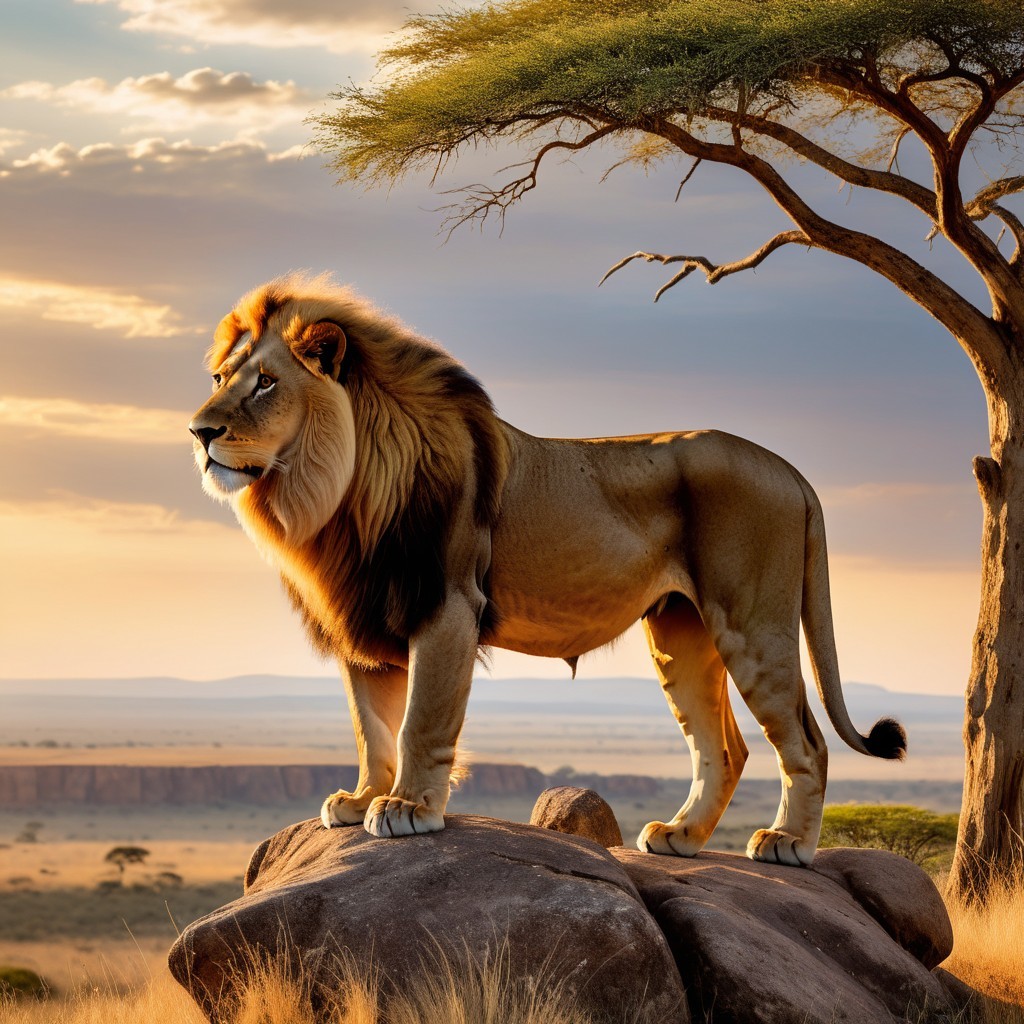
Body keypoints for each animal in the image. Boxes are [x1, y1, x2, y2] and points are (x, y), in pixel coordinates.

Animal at [189, 273, 905, 867]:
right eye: (221, 378)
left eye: (266, 382)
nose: (199, 432)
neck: (340, 492)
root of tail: (789, 470)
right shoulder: (365, 616)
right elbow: (372, 729)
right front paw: (364, 798)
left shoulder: (446, 606)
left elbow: (421, 721)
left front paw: (409, 809)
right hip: (680, 632)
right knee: (722, 746)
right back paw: (680, 837)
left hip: (753, 623)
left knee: (806, 741)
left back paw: (788, 844)